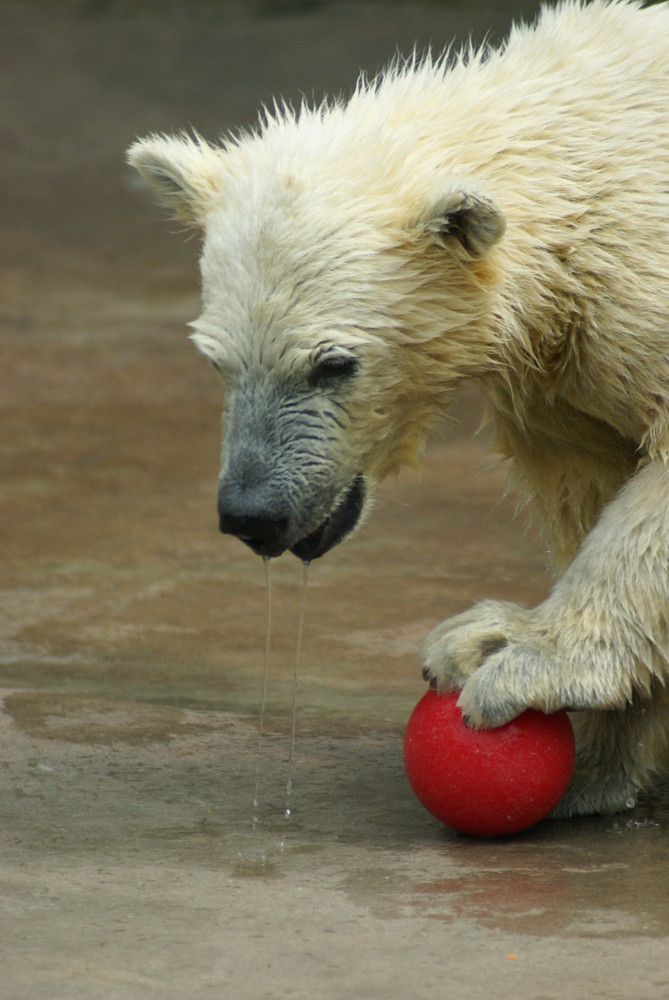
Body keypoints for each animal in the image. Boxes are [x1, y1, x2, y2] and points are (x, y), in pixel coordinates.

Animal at [128, 1, 668, 820]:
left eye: (332, 364)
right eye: (216, 360)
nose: (251, 511)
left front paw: (509, 653)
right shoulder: (562, 366)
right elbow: (586, 475)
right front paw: (599, 758)